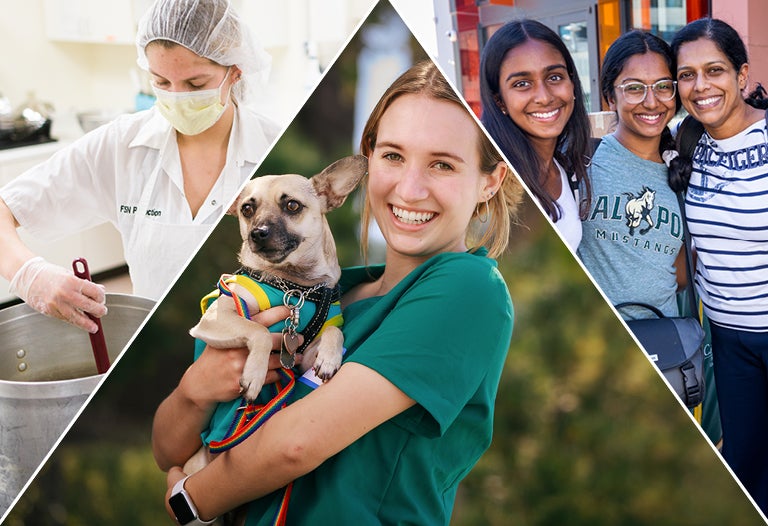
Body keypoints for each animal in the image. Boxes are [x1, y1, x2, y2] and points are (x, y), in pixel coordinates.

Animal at [184, 156, 368, 478]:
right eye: (247, 209)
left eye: (292, 206)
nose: (257, 232)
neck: (296, 286)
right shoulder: (216, 316)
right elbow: (257, 331)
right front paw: (254, 375)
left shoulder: (303, 354)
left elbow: (333, 331)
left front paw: (329, 359)